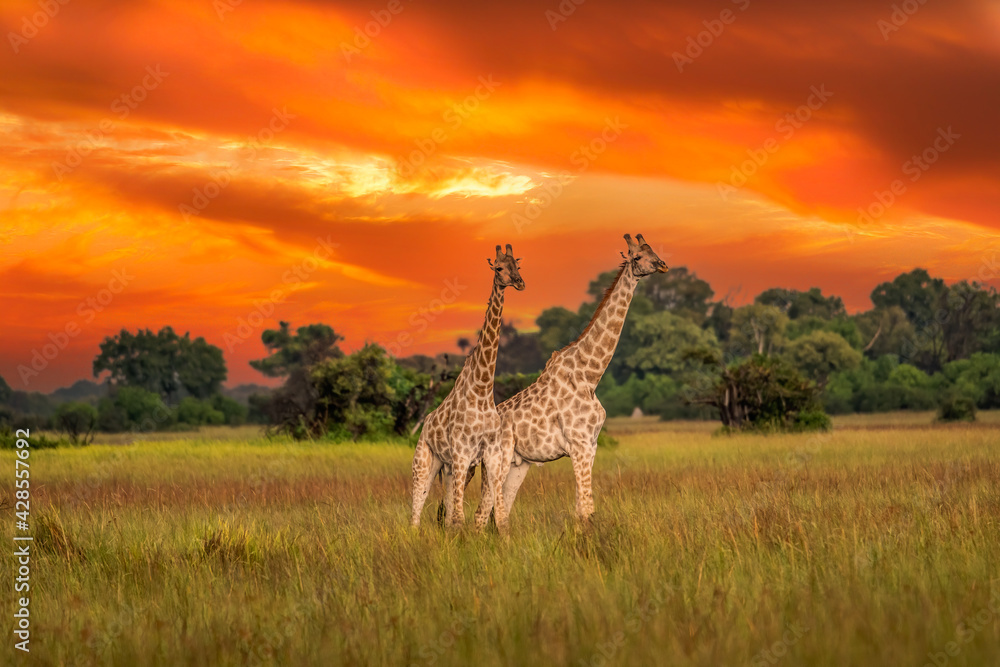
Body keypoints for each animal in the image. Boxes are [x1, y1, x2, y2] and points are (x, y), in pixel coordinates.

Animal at [410, 244, 524, 532]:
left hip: (451, 468)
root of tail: (425, 424)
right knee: (417, 509)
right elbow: (460, 519)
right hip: (425, 461)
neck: (482, 389)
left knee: (446, 513)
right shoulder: (461, 454)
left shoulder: (489, 455)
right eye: (499, 267)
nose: (519, 283)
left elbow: (498, 518)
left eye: (518, 266)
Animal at [469, 233, 667, 523]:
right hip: (497, 460)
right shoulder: (579, 444)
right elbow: (588, 509)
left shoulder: (590, 446)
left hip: (518, 464)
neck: (590, 375)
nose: (663, 265)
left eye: (653, 250)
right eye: (638, 256)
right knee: (482, 512)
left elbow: (580, 510)